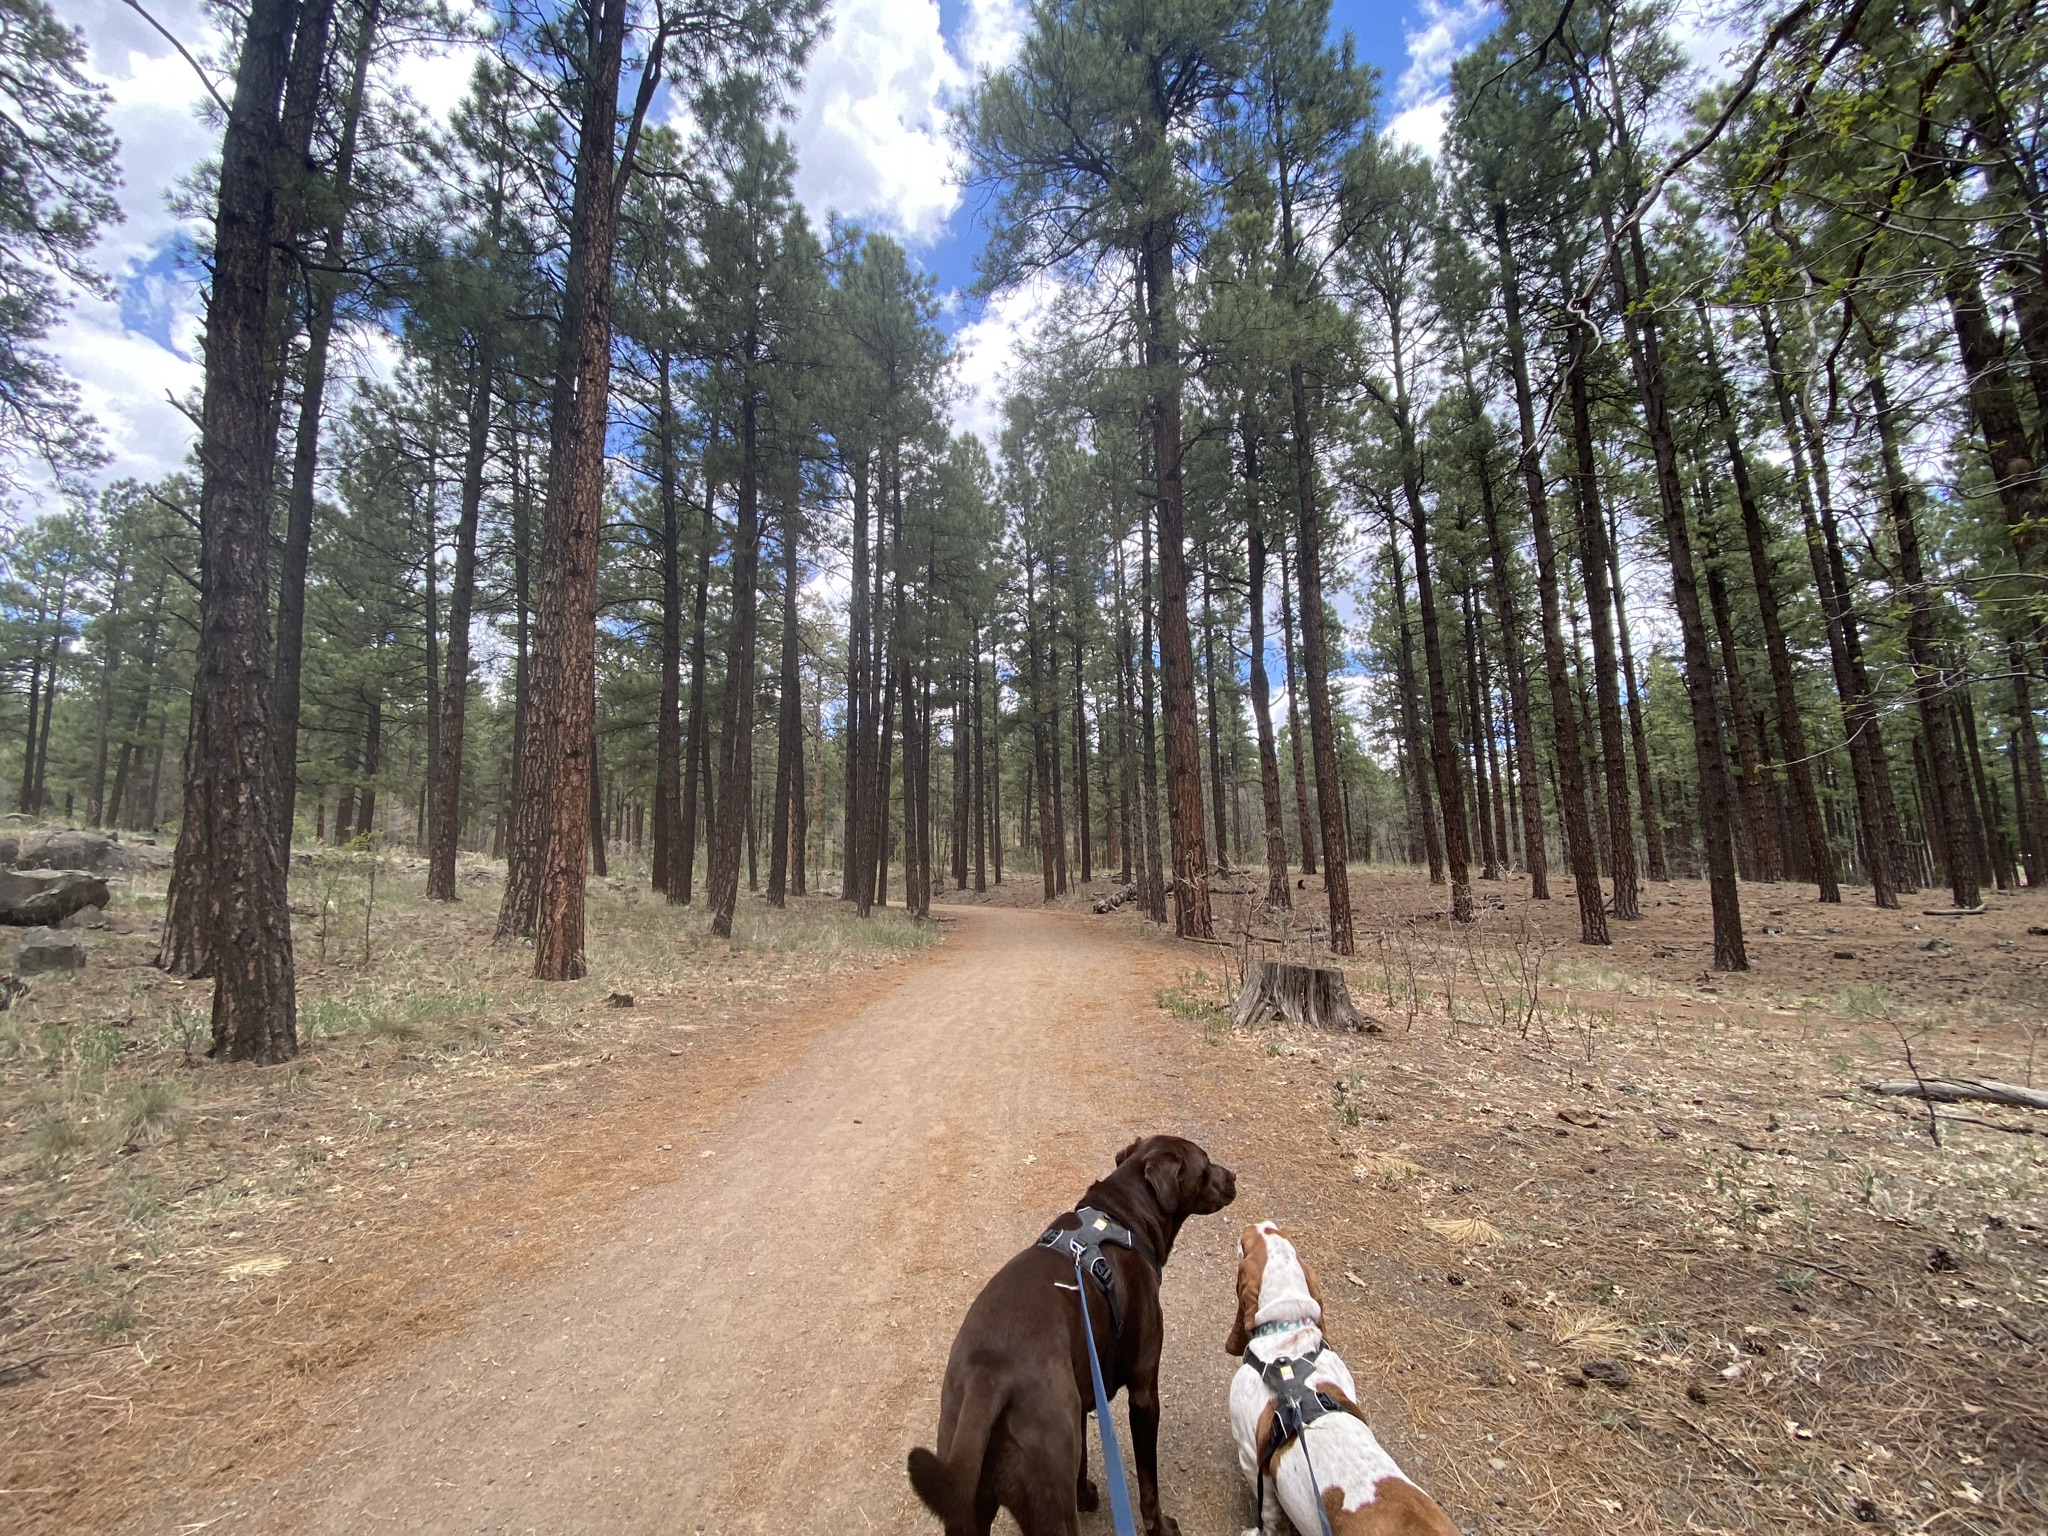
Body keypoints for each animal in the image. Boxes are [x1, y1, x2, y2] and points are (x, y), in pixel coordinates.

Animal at [1220, 1228, 1466, 1536]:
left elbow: (1267, 1515)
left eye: (1247, 1244)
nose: (1261, 1224)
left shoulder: (1251, 1457)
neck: (1289, 1338)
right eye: (1280, 1234)